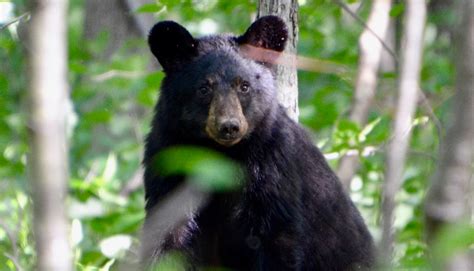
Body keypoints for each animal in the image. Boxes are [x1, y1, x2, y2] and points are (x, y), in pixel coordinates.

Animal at [141, 15, 374, 270]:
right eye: (204, 88)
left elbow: (274, 238)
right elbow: (168, 235)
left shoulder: (272, 164)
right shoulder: (169, 155)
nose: (229, 126)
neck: (221, 154)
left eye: (244, 85)